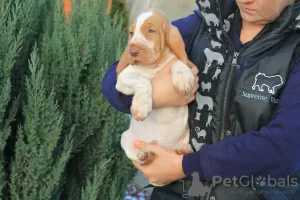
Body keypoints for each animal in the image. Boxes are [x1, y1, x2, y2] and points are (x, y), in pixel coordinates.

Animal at [115, 9, 195, 186]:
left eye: (151, 31)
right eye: (131, 33)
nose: (132, 52)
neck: (155, 66)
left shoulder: (183, 62)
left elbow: (178, 62)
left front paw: (183, 77)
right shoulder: (122, 79)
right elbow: (143, 81)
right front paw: (141, 106)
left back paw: (183, 150)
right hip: (125, 138)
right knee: (137, 156)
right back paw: (144, 155)